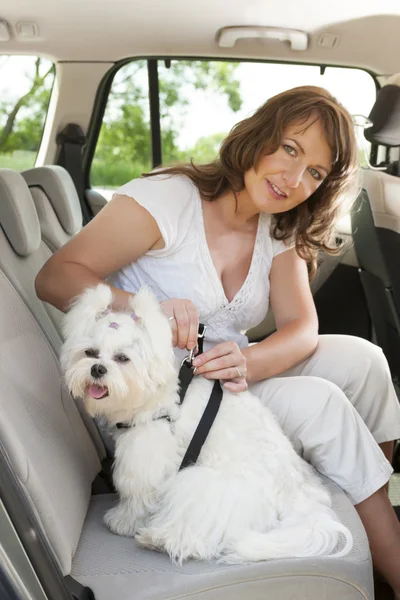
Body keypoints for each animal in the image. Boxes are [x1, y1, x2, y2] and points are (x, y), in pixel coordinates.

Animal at [61, 284, 352, 564]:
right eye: (90, 353)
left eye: (123, 358)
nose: (97, 369)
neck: (158, 394)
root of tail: (297, 495)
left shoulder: (146, 453)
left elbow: (137, 495)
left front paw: (123, 520)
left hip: (207, 485)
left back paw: (161, 538)